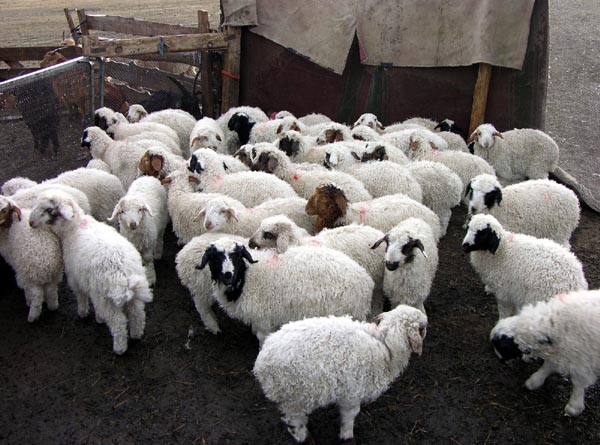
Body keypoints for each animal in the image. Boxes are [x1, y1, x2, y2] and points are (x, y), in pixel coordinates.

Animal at [29, 191, 153, 355]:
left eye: (48, 209)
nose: (30, 222)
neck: (73, 228)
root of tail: (122, 270)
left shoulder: (75, 278)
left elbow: (81, 296)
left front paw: (82, 313)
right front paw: (99, 318)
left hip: (104, 297)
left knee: (118, 322)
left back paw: (119, 348)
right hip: (133, 289)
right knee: (137, 314)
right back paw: (136, 335)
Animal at [198, 238, 374, 345]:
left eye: (236, 256)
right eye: (215, 257)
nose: (228, 274)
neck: (246, 277)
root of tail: (366, 281)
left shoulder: (263, 317)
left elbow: (262, 337)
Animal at [253, 305, 427, 443]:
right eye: (422, 327)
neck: (386, 346)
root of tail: (261, 363)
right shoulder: (352, 393)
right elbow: (350, 416)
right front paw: (347, 437)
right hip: (292, 395)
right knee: (294, 422)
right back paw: (306, 439)